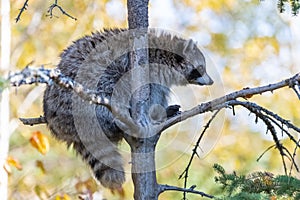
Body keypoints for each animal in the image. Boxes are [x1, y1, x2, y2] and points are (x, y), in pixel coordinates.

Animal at [44, 28, 213, 189]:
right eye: (200, 68)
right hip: (77, 92)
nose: (211, 82)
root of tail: (56, 123)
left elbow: (156, 96)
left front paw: (159, 113)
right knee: (108, 86)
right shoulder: (143, 68)